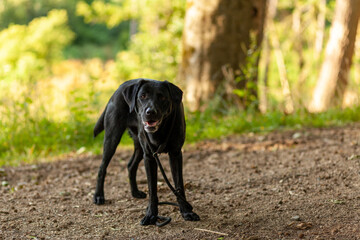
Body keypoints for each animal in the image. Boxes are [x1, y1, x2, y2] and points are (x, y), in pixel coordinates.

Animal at [93, 78, 200, 225]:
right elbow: (152, 189)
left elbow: (179, 186)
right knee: (102, 167)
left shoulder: (175, 154)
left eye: (162, 97)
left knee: (130, 165)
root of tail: (120, 87)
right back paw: (98, 196)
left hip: (139, 146)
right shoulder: (149, 156)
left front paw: (186, 211)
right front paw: (151, 215)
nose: (150, 112)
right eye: (142, 96)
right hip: (112, 138)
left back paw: (135, 192)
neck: (160, 130)